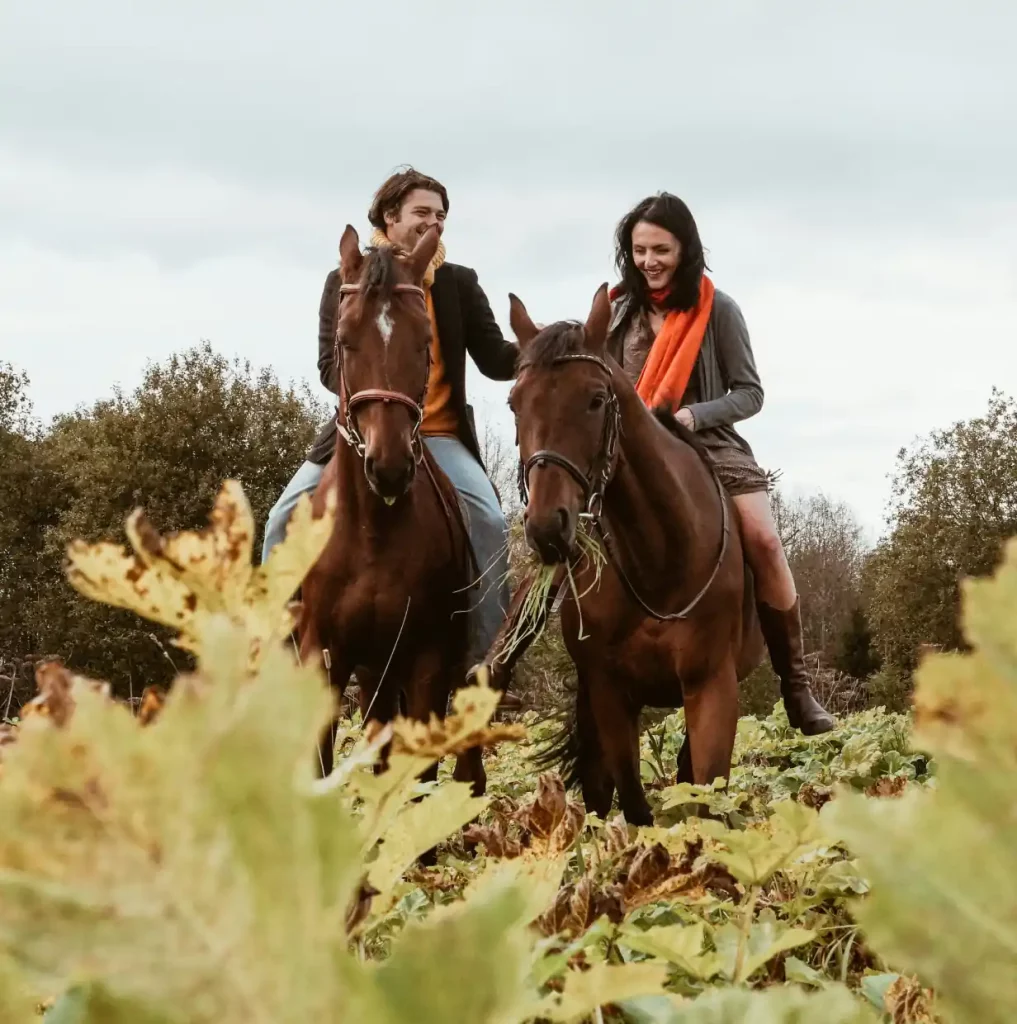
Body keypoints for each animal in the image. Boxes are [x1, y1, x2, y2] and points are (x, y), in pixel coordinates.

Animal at [489, 284, 761, 827]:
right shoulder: (610, 694)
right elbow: (632, 803)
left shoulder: (712, 687)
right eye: (514, 403)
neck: (660, 560)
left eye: (596, 400)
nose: (547, 527)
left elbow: (707, 800)